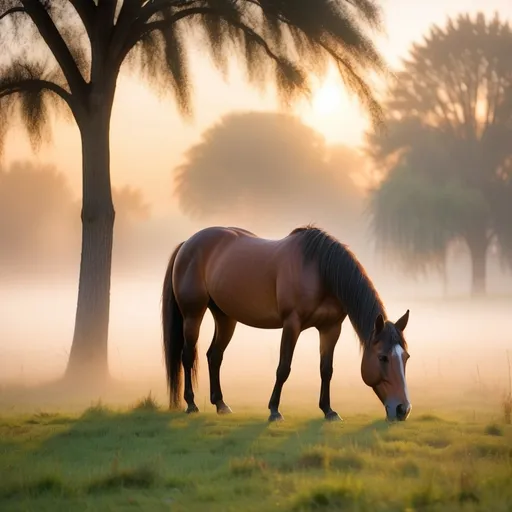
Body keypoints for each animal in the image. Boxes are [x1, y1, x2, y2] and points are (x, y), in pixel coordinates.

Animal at [162, 226, 410, 422]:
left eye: (406, 357)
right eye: (382, 357)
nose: (403, 409)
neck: (320, 271)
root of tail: (187, 244)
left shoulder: (331, 328)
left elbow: (326, 370)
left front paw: (328, 410)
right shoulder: (292, 324)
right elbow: (283, 367)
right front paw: (274, 410)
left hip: (225, 317)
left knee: (214, 356)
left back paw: (221, 405)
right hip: (193, 314)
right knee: (187, 356)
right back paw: (191, 404)